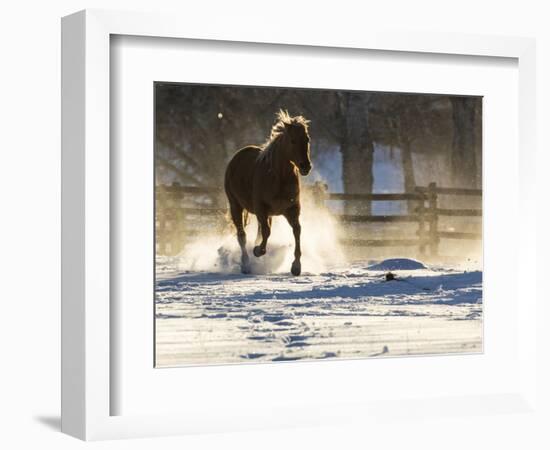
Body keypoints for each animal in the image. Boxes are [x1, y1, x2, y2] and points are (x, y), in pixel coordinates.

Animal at [223, 110, 310, 276]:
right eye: (293, 140)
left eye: (307, 140)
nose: (305, 167)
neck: (279, 177)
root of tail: (236, 158)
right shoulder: (261, 208)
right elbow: (267, 232)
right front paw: (257, 251)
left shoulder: (292, 209)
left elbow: (297, 230)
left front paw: (296, 267)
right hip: (235, 205)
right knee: (242, 235)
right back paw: (246, 265)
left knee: (258, 232)